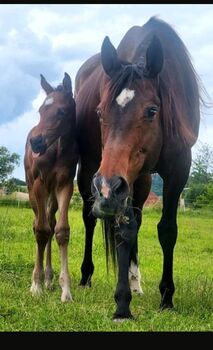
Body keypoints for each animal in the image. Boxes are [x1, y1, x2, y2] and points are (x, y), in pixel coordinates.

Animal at [75, 17, 201, 322]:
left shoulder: (178, 170)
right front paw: (122, 304)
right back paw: (86, 277)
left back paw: (136, 281)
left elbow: (167, 230)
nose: (106, 187)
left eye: (152, 111)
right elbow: (124, 229)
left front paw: (166, 297)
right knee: (89, 218)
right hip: (91, 172)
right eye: (99, 111)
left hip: (138, 181)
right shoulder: (124, 180)